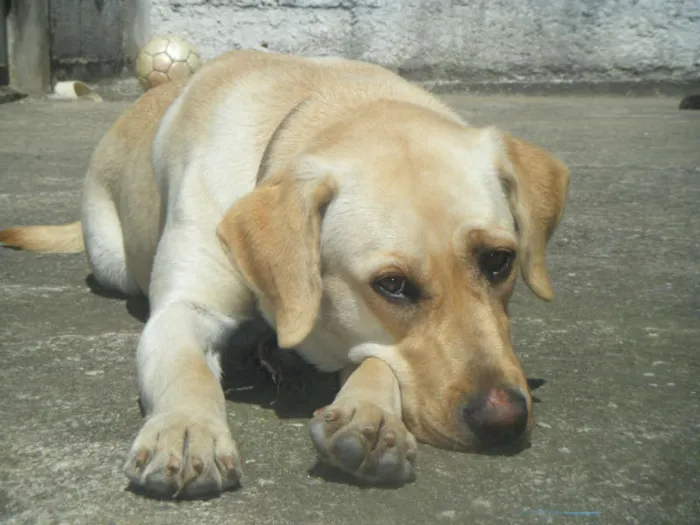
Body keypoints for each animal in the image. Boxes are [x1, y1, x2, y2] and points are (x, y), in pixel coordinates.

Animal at [0, 51, 568, 498]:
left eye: (498, 260)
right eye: (392, 285)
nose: (505, 420)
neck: (330, 101)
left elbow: (379, 361)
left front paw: (369, 417)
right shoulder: (185, 307)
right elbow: (186, 368)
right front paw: (186, 429)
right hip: (111, 257)